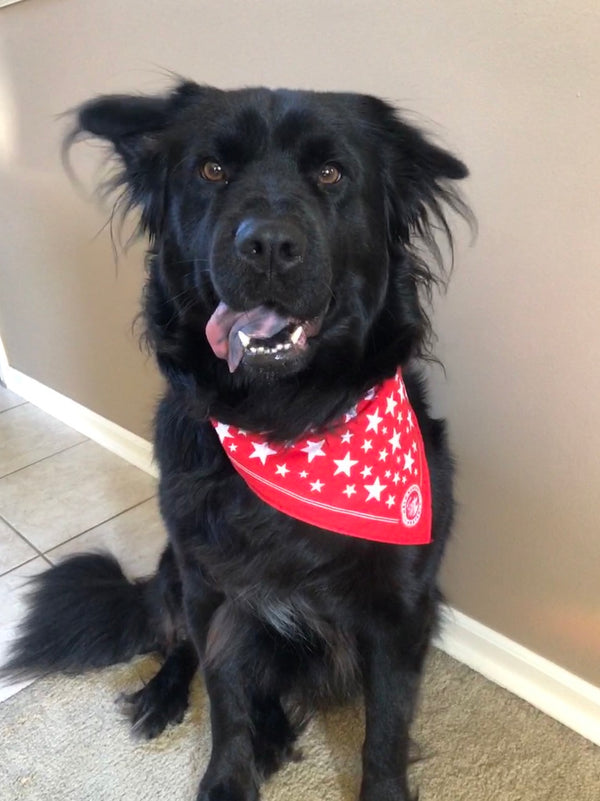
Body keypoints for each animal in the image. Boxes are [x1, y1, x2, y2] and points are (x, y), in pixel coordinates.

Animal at [4, 81, 472, 800]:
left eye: (330, 173)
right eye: (211, 170)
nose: (270, 245)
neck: (286, 422)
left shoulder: (399, 608)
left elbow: (386, 729)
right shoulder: (212, 586)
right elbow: (225, 695)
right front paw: (228, 777)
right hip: (175, 566)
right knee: (183, 649)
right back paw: (166, 698)